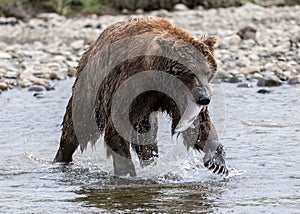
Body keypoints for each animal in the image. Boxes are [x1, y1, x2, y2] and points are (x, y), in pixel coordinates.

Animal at [53, 17, 227, 176]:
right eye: (191, 72)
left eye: (208, 72)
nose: (204, 98)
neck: (159, 80)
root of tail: (92, 45)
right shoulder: (132, 85)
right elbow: (116, 128)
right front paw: (127, 172)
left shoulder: (174, 97)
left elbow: (199, 125)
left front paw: (217, 162)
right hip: (91, 89)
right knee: (77, 123)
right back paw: (61, 158)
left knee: (147, 137)